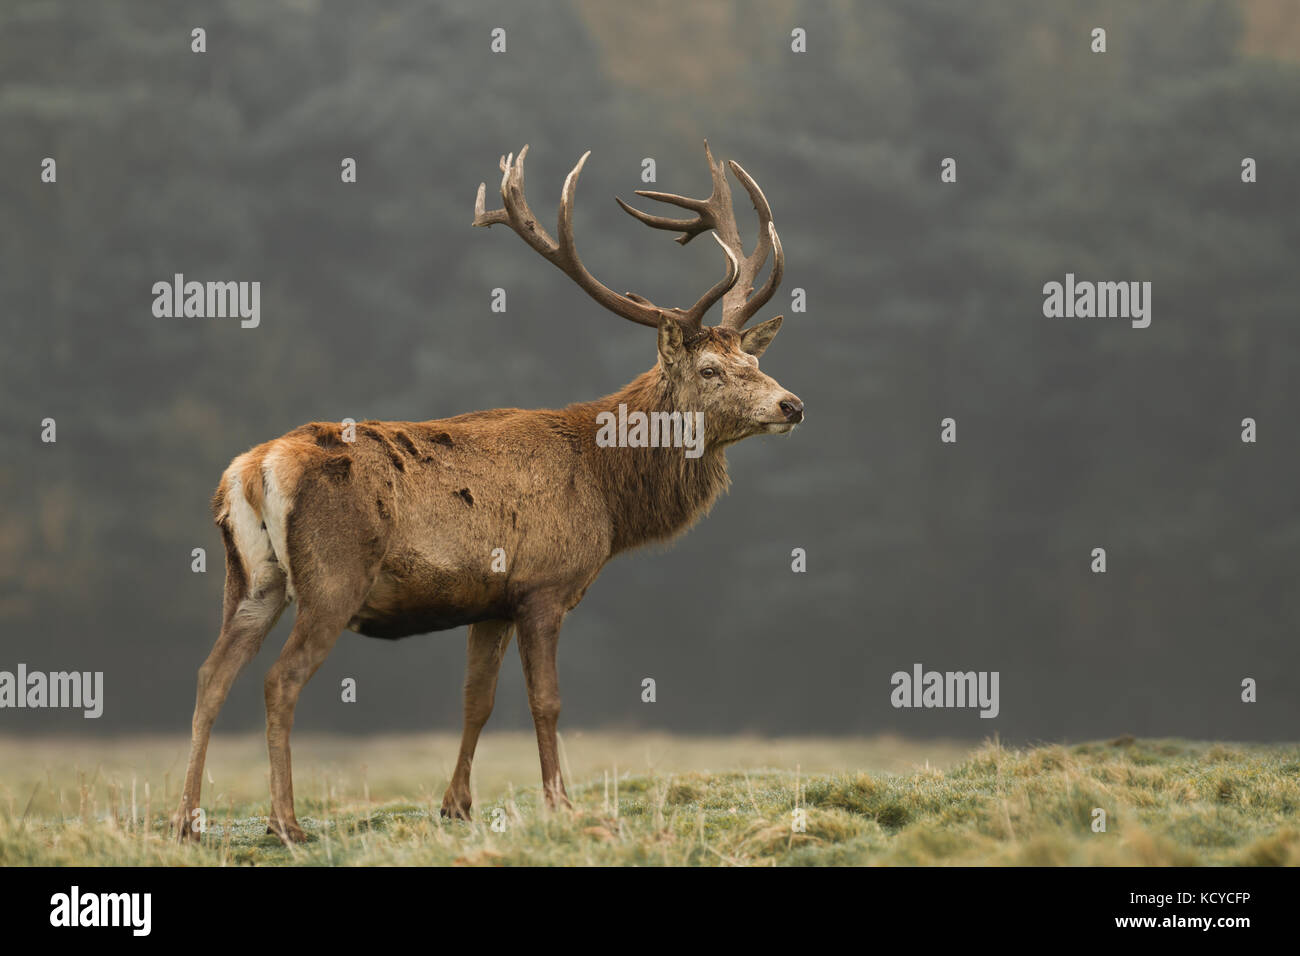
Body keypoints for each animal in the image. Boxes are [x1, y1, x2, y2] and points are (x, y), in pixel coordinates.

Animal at [172, 141, 800, 842]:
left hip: (251, 576)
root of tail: (252, 470)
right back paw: (286, 823)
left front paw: (457, 805)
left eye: (755, 361)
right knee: (279, 680)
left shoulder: (490, 601)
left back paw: (187, 821)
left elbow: (477, 700)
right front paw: (561, 805)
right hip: (332, 575)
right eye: (711, 369)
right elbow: (545, 701)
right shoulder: (543, 585)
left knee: (211, 674)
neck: (609, 495)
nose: (792, 404)